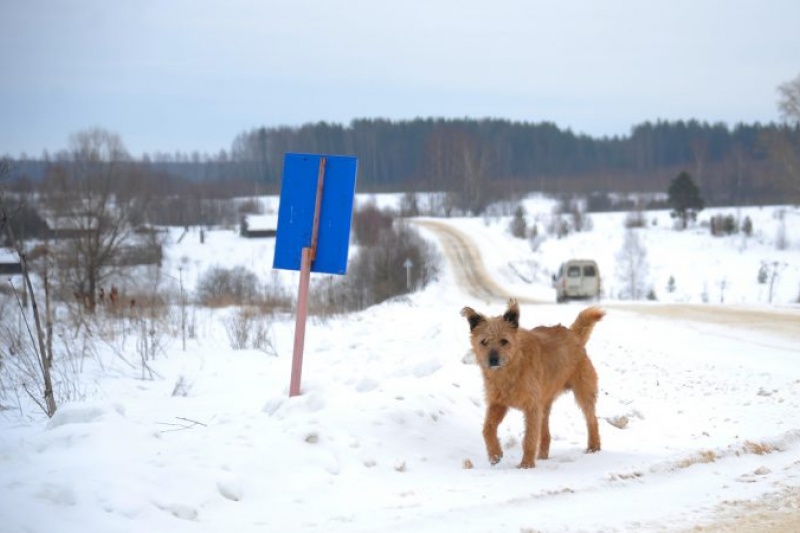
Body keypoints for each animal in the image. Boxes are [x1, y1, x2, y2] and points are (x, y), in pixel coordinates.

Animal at [460, 298, 604, 468]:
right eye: (484, 342)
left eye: (504, 341)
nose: (493, 360)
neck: (512, 367)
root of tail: (573, 335)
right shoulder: (498, 403)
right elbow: (487, 429)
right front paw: (495, 455)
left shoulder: (532, 407)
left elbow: (529, 437)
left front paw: (526, 465)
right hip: (545, 404)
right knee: (546, 434)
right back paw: (542, 456)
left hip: (583, 393)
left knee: (592, 420)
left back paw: (594, 447)